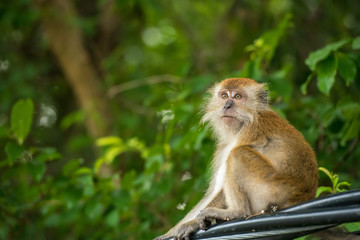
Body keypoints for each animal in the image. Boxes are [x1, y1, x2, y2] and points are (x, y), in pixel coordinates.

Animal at [154, 78, 318, 239]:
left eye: (238, 97)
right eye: (224, 96)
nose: (227, 105)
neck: (239, 127)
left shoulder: (251, 130)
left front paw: (190, 224)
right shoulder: (223, 147)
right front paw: (169, 233)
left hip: (275, 189)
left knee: (237, 154)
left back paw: (236, 212)